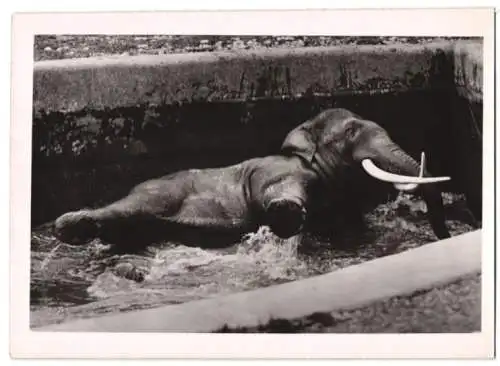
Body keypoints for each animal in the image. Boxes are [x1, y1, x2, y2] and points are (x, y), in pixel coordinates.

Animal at [52, 107, 452, 250]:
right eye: (351, 131)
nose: (445, 239)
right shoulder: (279, 170)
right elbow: (275, 192)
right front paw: (288, 216)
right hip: (157, 193)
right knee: (127, 209)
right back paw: (69, 227)